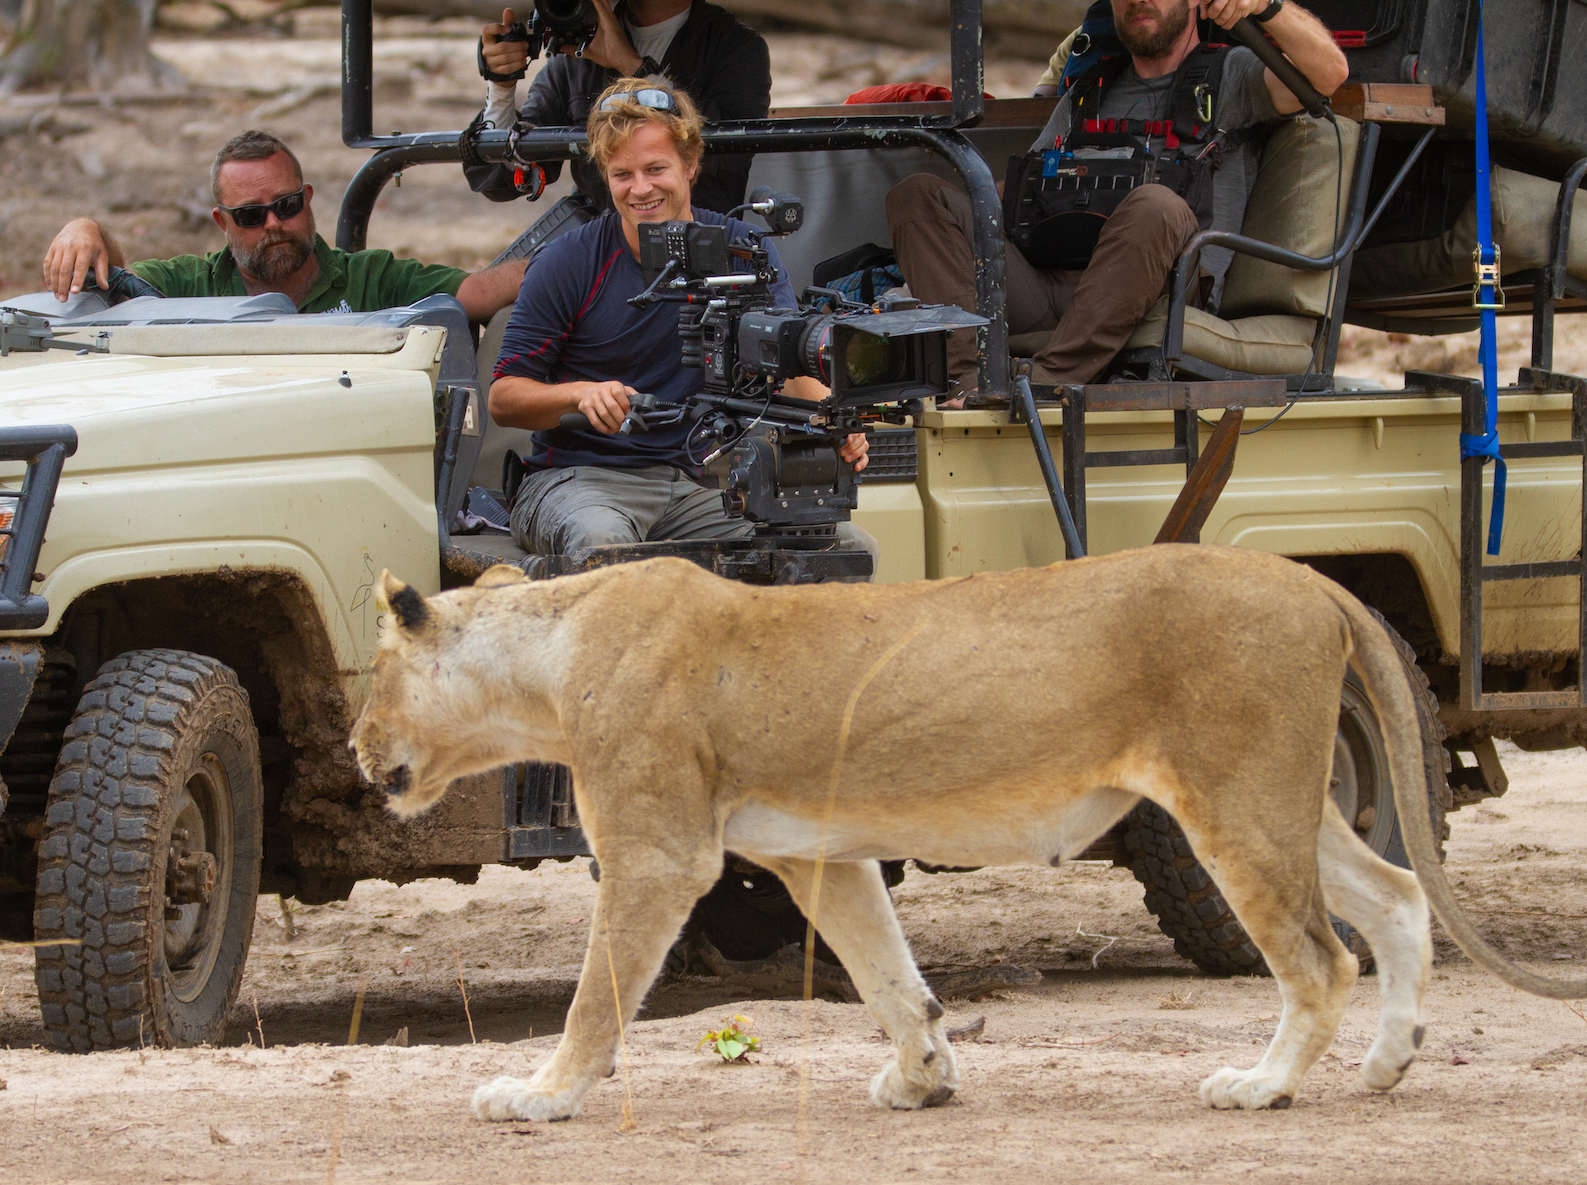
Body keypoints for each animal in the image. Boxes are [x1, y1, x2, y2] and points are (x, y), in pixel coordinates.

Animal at [349, 544, 1587, 1122]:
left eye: (373, 677)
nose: (354, 749)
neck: (547, 655)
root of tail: (1308, 579)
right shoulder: (819, 852)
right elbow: (887, 973)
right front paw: (924, 1077)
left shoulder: (659, 853)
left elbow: (597, 996)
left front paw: (539, 1094)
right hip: (1281, 796)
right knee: (1398, 897)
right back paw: (1390, 1060)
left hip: (1234, 798)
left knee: (1322, 957)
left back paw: (1263, 1084)